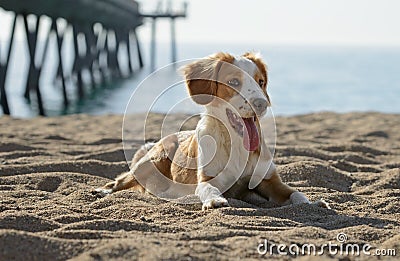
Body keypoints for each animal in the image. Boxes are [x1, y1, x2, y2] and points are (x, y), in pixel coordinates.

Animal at [95, 52, 330, 209]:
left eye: (261, 82)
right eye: (233, 82)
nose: (261, 104)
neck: (235, 143)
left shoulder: (269, 181)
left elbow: (296, 193)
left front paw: (313, 202)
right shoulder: (207, 178)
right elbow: (209, 188)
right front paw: (215, 200)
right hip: (151, 162)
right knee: (120, 180)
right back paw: (102, 190)